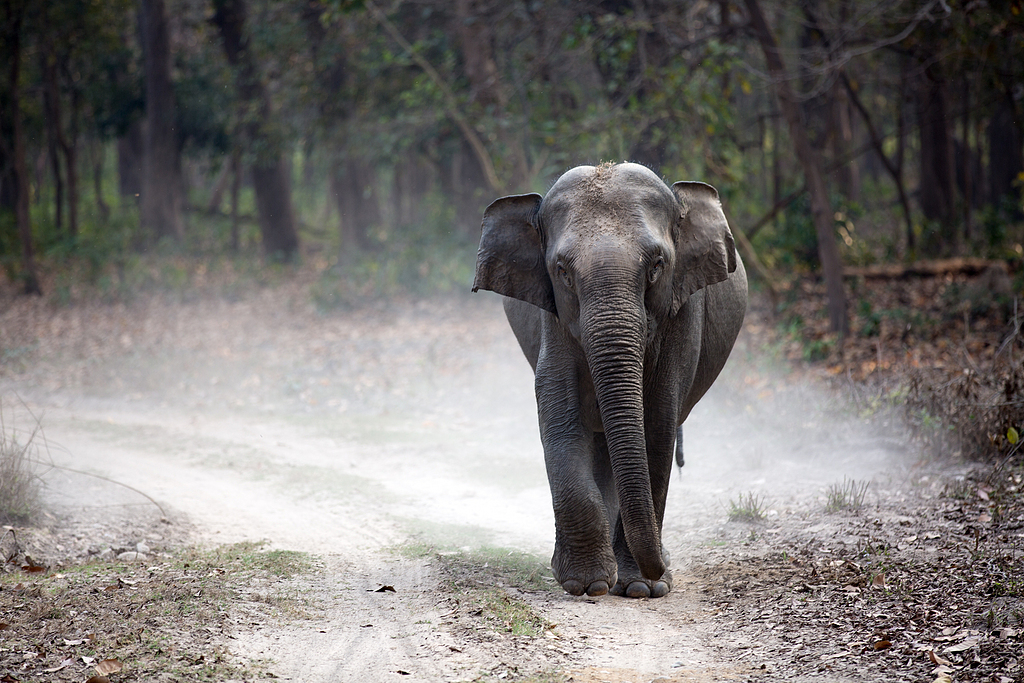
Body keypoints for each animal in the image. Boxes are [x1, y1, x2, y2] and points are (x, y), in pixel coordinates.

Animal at [471, 161, 745, 598]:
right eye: (562, 271)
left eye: (657, 266)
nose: (660, 568)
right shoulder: (554, 320)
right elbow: (561, 418)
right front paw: (588, 584)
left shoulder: (682, 314)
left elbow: (657, 426)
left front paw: (641, 588)